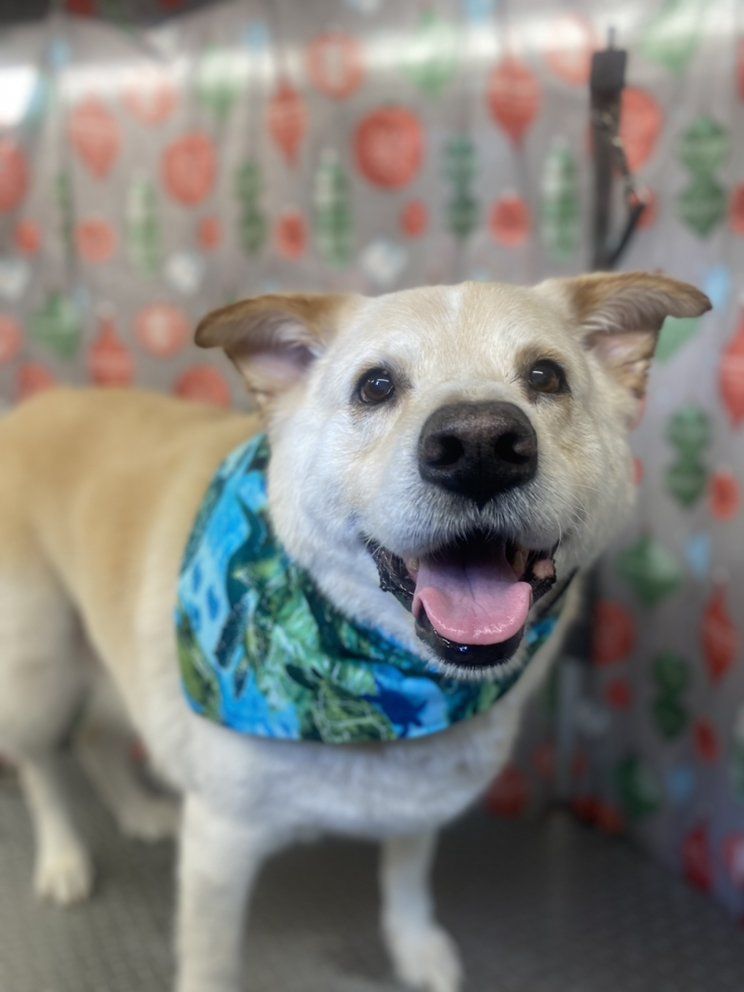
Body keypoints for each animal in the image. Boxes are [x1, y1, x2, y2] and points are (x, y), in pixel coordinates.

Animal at [0, 272, 709, 992]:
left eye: (546, 375)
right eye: (375, 386)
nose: (480, 446)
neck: (382, 685)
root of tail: (31, 409)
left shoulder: (417, 804)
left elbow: (406, 885)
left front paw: (414, 946)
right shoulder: (219, 846)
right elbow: (211, 961)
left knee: (92, 738)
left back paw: (136, 811)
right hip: (38, 677)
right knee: (40, 767)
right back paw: (62, 858)